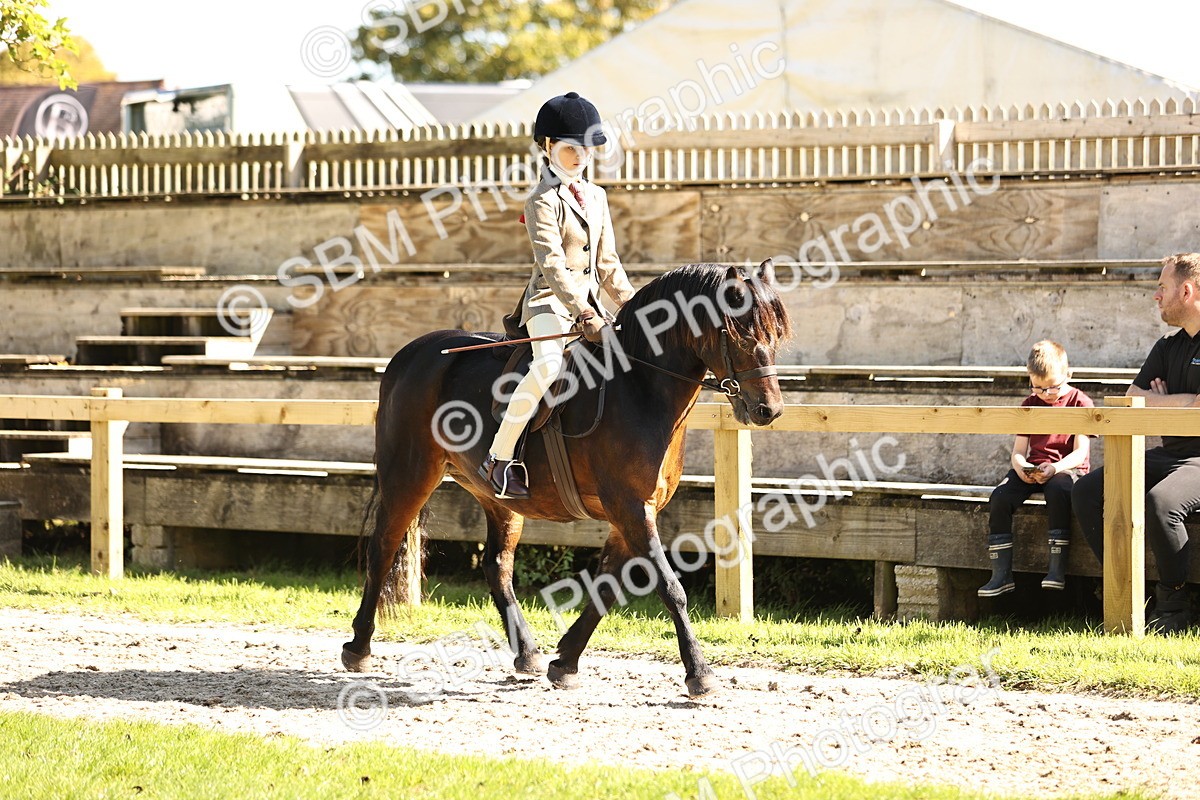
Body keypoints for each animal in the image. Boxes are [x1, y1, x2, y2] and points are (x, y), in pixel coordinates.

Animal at [342, 259, 793, 698]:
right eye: (736, 333)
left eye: (775, 334)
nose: (769, 411)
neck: (639, 387)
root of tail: (409, 354)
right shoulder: (631, 508)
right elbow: (670, 587)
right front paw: (700, 673)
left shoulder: (631, 513)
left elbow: (607, 586)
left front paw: (565, 662)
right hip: (408, 477)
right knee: (382, 549)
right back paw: (358, 648)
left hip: (499, 498)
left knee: (496, 565)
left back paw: (527, 654)